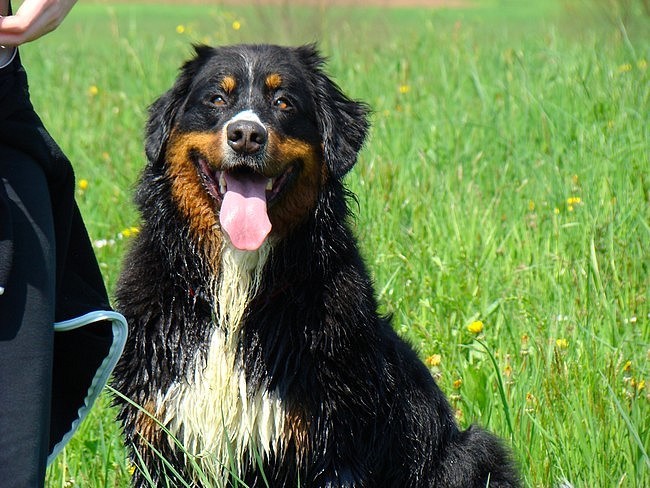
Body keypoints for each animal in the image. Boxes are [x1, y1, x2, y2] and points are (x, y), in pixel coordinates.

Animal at [111, 43, 516, 486]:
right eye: (216, 98)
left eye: (283, 102)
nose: (246, 135)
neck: (236, 294)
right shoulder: (161, 435)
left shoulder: (328, 446)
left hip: (471, 453)